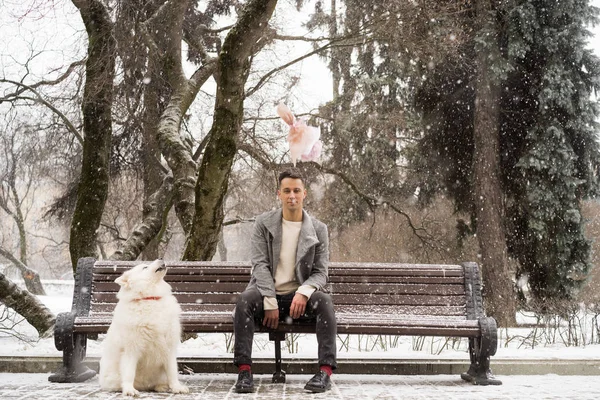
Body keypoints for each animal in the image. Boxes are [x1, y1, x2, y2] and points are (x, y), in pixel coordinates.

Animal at [98, 260, 189, 396]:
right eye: (145, 267)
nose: (161, 259)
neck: (150, 298)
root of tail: (144, 386)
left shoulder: (168, 348)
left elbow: (172, 372)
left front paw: (177, 387)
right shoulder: (131, 349)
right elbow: (129, 373)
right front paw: (129, 390)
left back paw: (162, 386)